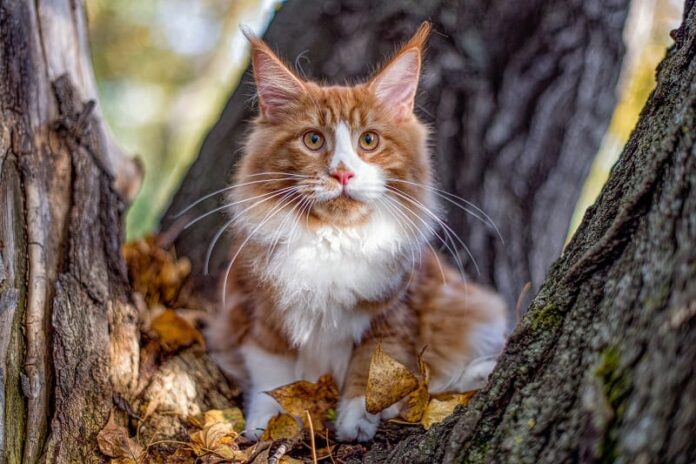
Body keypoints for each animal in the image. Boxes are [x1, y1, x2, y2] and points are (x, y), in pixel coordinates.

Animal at [204, 22, 508, 442]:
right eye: (313, 140)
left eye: (369, 141)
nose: (343, 173)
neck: (332, 242)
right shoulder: (258, 311)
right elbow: (273, 376)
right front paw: (269, 424)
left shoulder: (395, 313)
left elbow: (373, 369)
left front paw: (357, 418)